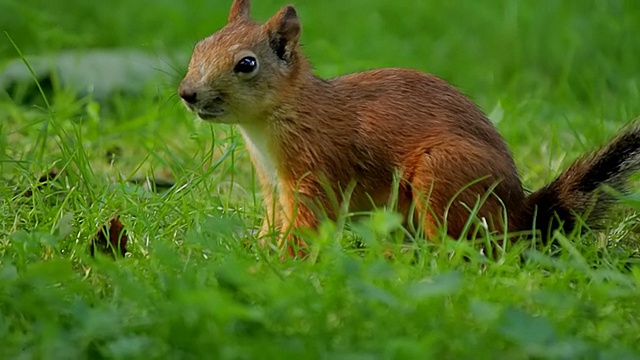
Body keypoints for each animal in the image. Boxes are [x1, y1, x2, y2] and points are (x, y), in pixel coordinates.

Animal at [178, 0, 640, 258]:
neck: (268, 126)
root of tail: (517, 214)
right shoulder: (274, 186)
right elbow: (273, 221)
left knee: (466, 251)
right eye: (199, 46)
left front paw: (280, 261)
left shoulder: (316, 171)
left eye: (247, 64)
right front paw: (252, 247)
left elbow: (308, 223)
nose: (187, 94)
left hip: (443, 176)